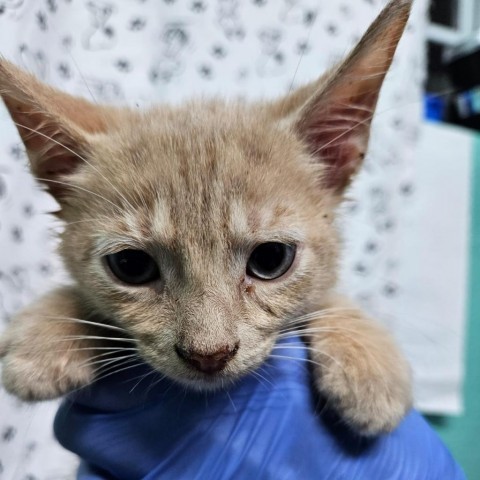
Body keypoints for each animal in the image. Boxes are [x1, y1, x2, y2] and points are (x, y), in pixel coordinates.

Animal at [0, 0, 412, 436]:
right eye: (131, 265)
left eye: (271, 259)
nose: (208, 354)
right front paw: (47, 328)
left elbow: (327, 296)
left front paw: (368, 355)